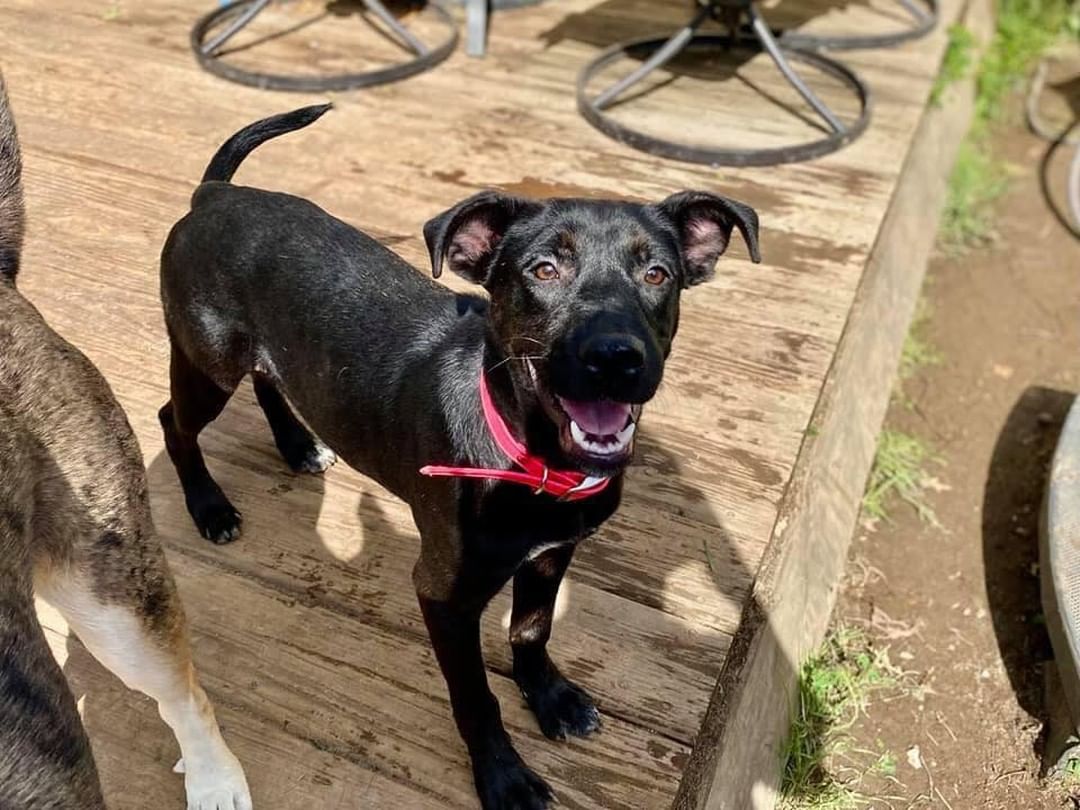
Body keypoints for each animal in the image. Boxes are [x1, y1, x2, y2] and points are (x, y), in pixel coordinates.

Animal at [157, 108, 760, 810]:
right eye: (544, 270)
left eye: (657, 274)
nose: (616, 357)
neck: (530, 456)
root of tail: (214, 196)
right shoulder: (443, 594)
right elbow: (475, 697)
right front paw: (503, 774)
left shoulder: (552, 553)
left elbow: (531, 630)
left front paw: (549, 696)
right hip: (206, 364)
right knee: (173, 422)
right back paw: (208, 506)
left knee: (269, 380)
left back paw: (298, 445)